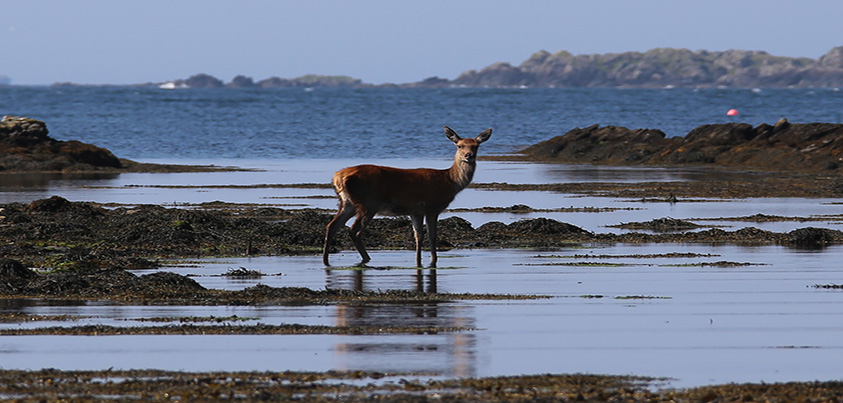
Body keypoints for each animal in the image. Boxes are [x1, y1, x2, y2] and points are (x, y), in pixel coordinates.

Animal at [322, 126, 492, 268]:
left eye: (476, 146)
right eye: (459, 145)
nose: (469, 155)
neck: (450, 181)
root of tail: (338, 177)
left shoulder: (415, 211)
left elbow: (418, 236)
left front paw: (418, 260)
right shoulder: (433, 206)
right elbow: (432, 235)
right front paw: (433, 259)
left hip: (347, 202)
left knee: (332, 225)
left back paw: (326, 259)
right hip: (368, 203)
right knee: (354, 230)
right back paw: (366, 258)